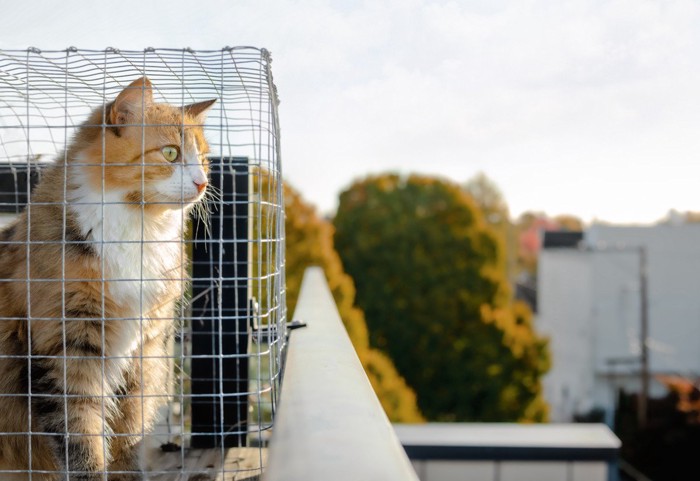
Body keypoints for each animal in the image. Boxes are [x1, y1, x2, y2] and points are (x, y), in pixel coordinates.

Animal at [0, 77, 216, 478]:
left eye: (205, 159)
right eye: (170, 153)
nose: (202, 183)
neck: (140, 231)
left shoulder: (141, 353)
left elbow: (126, 439)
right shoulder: (67, 349)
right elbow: (83, 439)